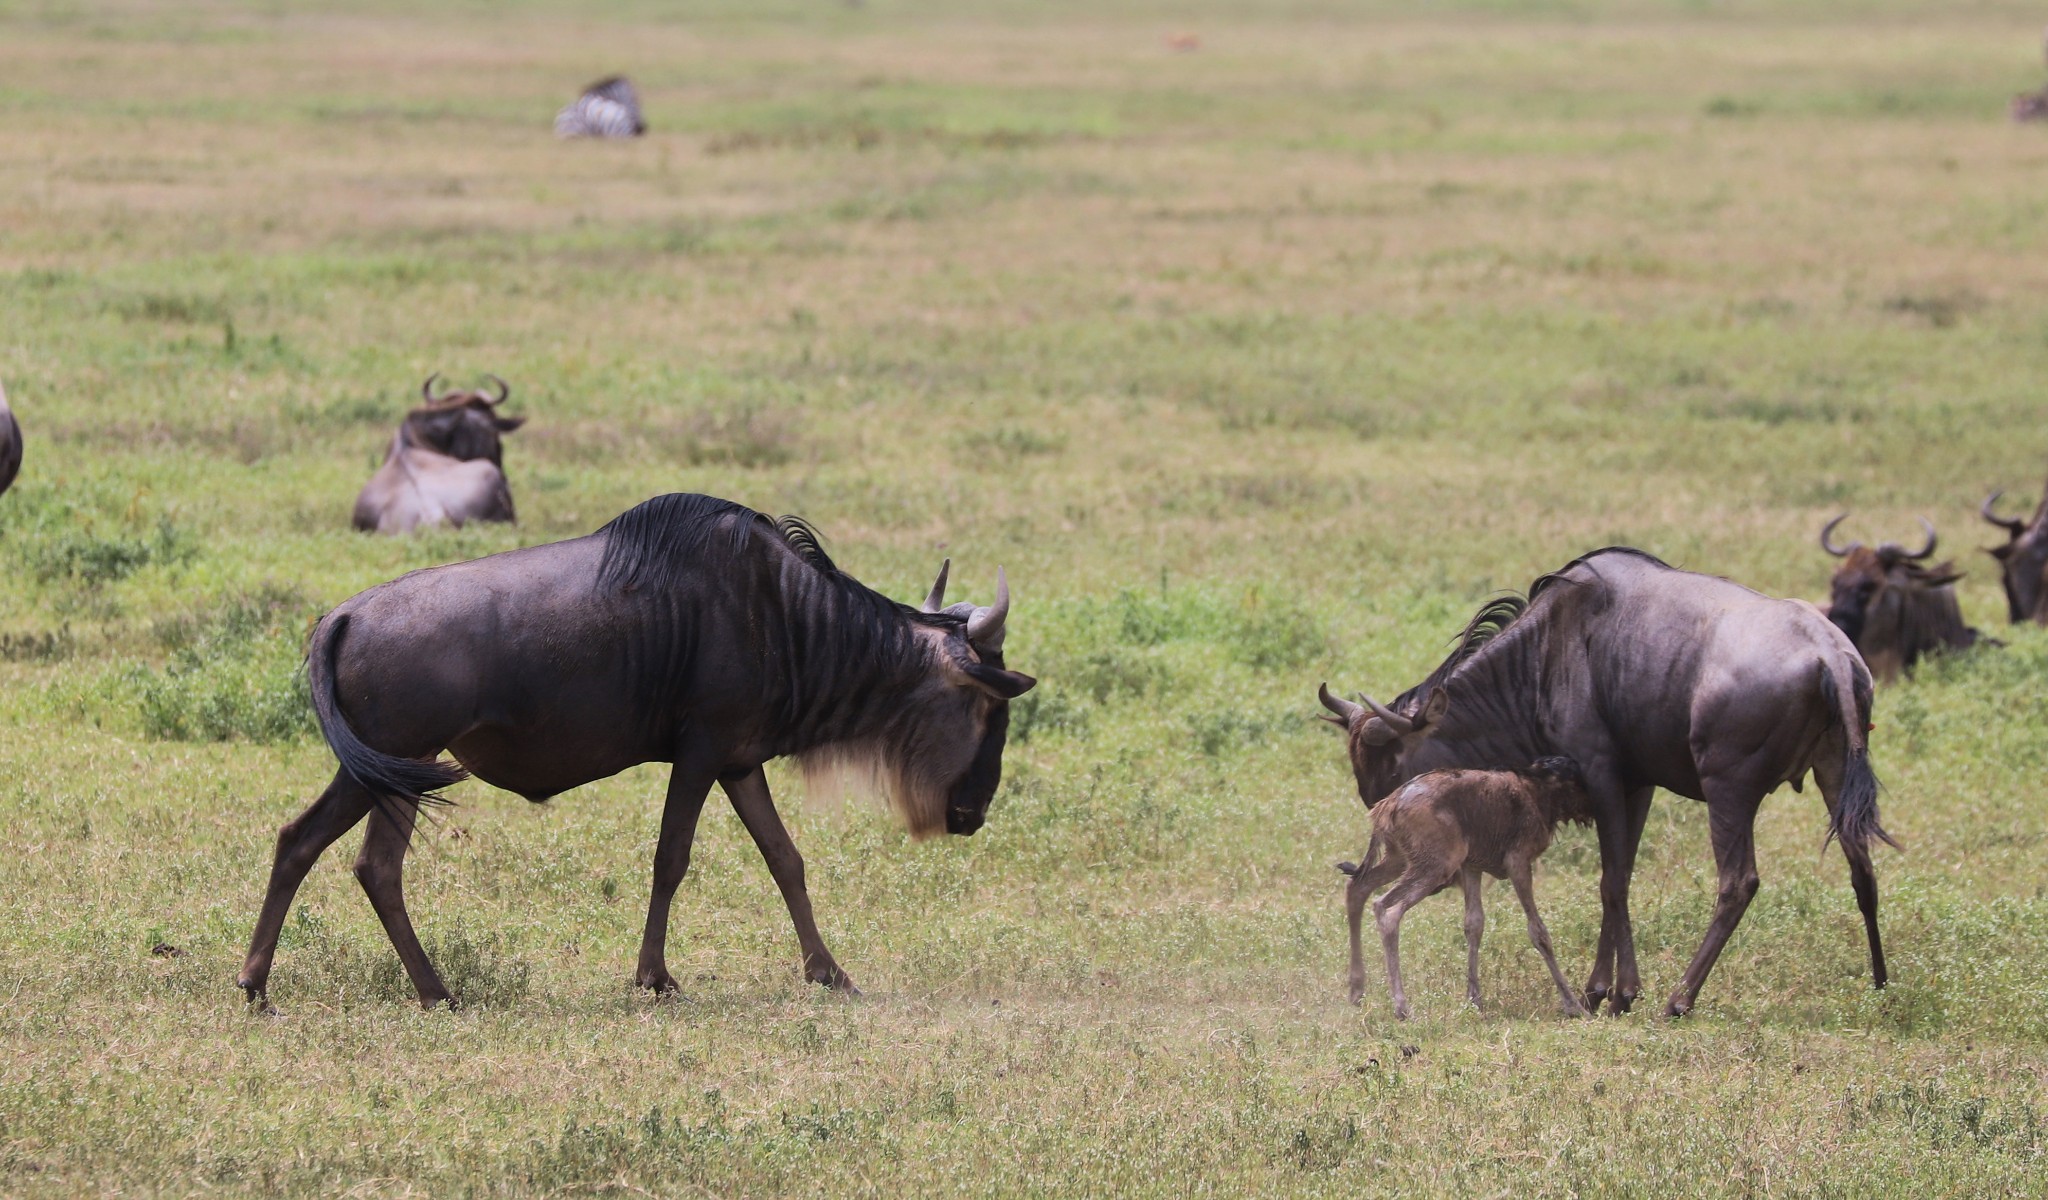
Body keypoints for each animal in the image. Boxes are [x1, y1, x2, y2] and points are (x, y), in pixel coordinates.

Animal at [1335, 753, 1589, 1015]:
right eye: (1578, 783)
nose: (1589, 813)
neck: (1538, 787)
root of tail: (1390, 803)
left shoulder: (1472, 866)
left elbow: (1474, 924)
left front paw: (1474, 999)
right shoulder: (1517, 861)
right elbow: (1538, 931)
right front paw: (1573, 1005)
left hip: (1401, 859)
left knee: (1358, 888)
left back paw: (1357, 991)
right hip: (1435, 865)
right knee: (1388, 909)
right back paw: (1402, 1007)